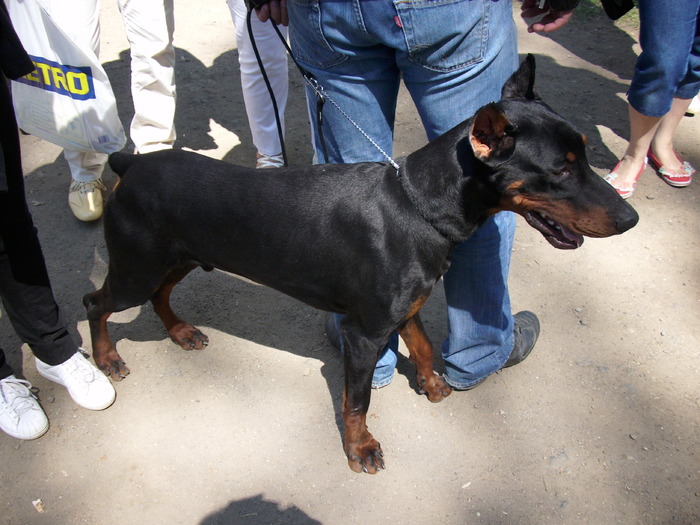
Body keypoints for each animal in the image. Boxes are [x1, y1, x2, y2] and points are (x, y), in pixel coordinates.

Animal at [83, 55, 640, 472]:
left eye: (584, 152)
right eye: (559, 170)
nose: (630, 218)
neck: (418, 204)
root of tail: (129, 164)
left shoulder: (404, 307)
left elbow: (423, 345)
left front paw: (433, 385)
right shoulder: (364, 333)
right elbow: (357, 401)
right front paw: (361, 448)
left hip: (175, 257)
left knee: (159, 294)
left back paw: (179, 331)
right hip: (137, 264)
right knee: (96, 301)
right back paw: (107, 359)